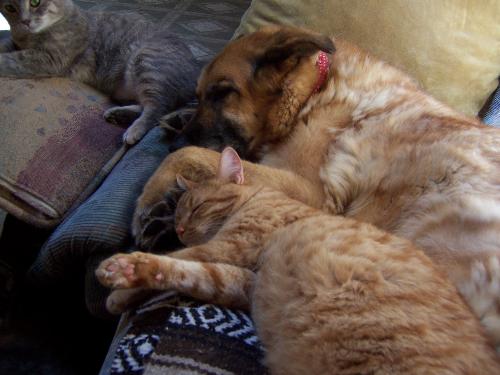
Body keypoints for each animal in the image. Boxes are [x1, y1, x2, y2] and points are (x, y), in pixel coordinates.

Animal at [0, 0, 199, 144]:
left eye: (35, 2)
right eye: (9, 7)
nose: (25, 21)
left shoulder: (48, 59)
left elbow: (10, 60)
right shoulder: (16, 44)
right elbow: (5, 46)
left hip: (148, 64)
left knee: (158, 108)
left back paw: (134, 129)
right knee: (147, 106)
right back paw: (118, 115)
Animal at [95, 148, 498, 374]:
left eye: (194, 208)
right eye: (177, 213)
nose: (177, 229)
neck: (255, 197)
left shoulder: (230, 248)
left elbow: (181, 257)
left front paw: (118, 283)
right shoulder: (241, 280)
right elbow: (182, 269)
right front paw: (128, 276)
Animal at [127, 26, 500, 346]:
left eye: (223, 93)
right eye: (200, 95)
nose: (172, 142)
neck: (312, 88)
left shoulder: (311, 191)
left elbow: (195, 156)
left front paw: (148, 199)